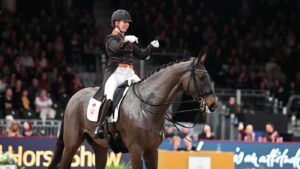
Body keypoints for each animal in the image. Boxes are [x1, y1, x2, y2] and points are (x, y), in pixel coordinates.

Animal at [49, 54, 218, 169]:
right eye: (201, 77)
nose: (213, 105)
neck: (147, 107)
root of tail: (74, 97)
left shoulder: (152, 150)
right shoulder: (136, 150)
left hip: (100, 147)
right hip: (72, 144)